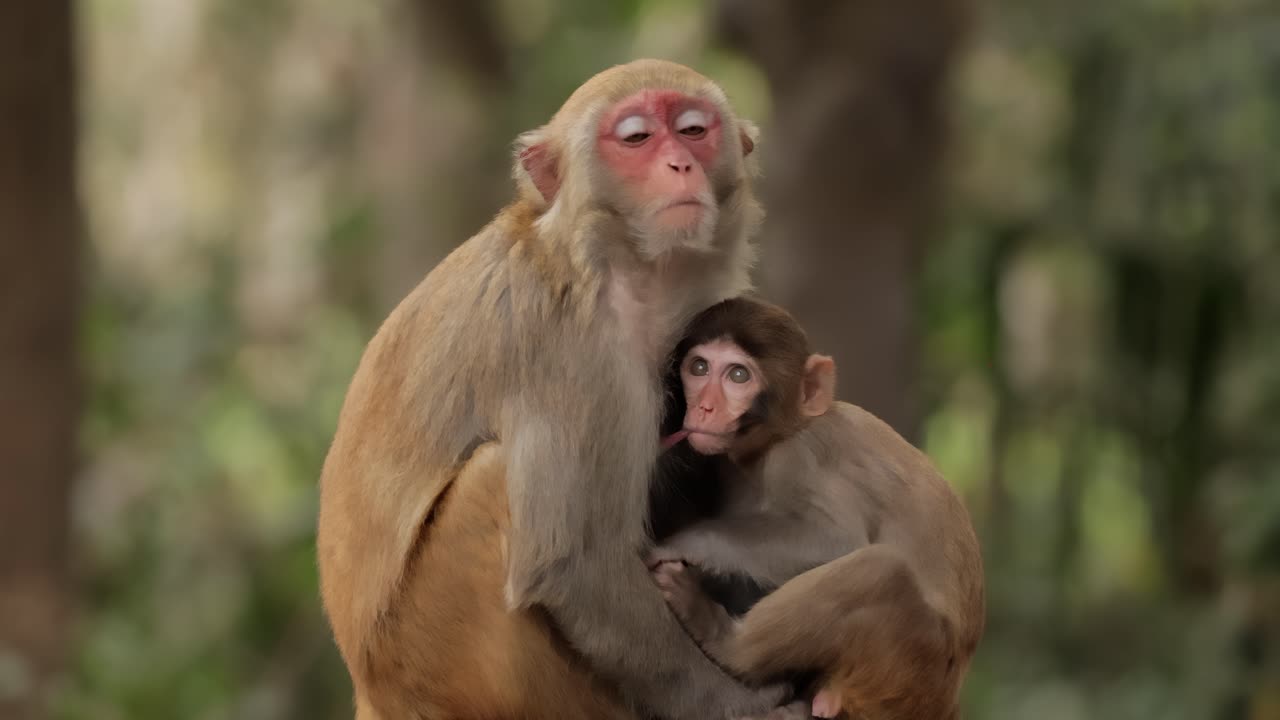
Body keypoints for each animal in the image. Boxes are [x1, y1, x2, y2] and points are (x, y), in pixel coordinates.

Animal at [316, 60, 791, 719]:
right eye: (637, 138)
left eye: (693, 129)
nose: (680, 164)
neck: (615, 267)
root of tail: (372, 686)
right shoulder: (567, 353)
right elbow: (575, 566)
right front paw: (739, 704)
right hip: (433, 651)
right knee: (492, 479)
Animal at [647, 297, 986, 720]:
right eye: (699, 367)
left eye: (738, 375)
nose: (704, 408)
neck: (781, 433)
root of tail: (948, 699)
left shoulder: (801, 456)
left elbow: (833, 539)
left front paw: (685, 542)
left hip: (916, 666)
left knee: (879, 570)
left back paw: (724, 639)